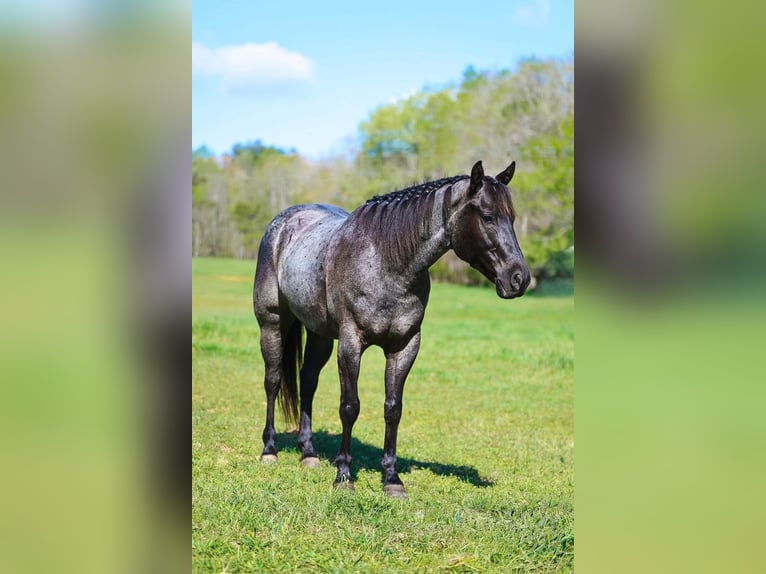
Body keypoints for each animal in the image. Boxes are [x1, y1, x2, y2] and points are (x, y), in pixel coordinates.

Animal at [252, 160, 531, 498]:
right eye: (488, 216)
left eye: (512, 218)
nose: (520, 278)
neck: (387, 262)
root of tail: (285, 222)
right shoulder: (351, 343)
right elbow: (350, 407)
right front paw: (343, 476)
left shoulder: (405, 346)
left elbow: (393, 409)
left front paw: (392, 479)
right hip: (272, 324)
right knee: (273, 381)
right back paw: (269, 450)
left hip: (319, 334)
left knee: (307, 383)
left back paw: (309, 454)